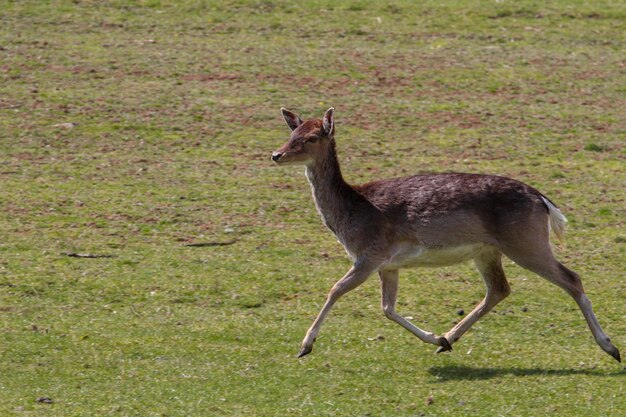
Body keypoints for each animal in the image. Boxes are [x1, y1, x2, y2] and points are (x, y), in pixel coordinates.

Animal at [270, 107, 620, 360]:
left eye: (313, 137)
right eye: (292, 131)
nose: (276, 155)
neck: (351, 213)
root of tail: (543, 200)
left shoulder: (370, 254)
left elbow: (335, 290)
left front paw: (304, 346)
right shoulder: (388, 264)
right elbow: (387, 308)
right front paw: (435, 337)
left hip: (525, 242)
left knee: (571, 278)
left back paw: (610, 347)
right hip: (487, 250)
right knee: (499, 289)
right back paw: (447, 340)